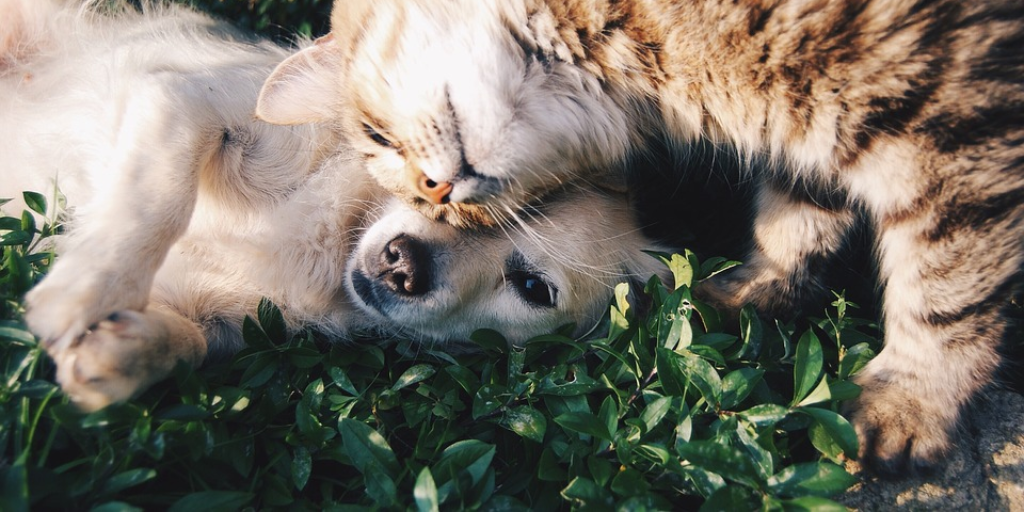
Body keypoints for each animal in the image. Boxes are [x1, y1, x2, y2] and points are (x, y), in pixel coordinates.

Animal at [2, 0, 671, 407]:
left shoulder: (222, 318)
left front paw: (122, 353)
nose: (404, 265)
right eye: (435, 191)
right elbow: (156, 200)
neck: (335, 239)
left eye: (534, 289)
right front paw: (84, 291)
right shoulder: (184, 100)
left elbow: (190, 343)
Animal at [249, 0, 1024, 475]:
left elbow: (947, 290)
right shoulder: (815, 133)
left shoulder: (952, 125)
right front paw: (757, 290)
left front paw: (911, 400)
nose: (435, 194)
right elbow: (798, 213)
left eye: (376, 137)